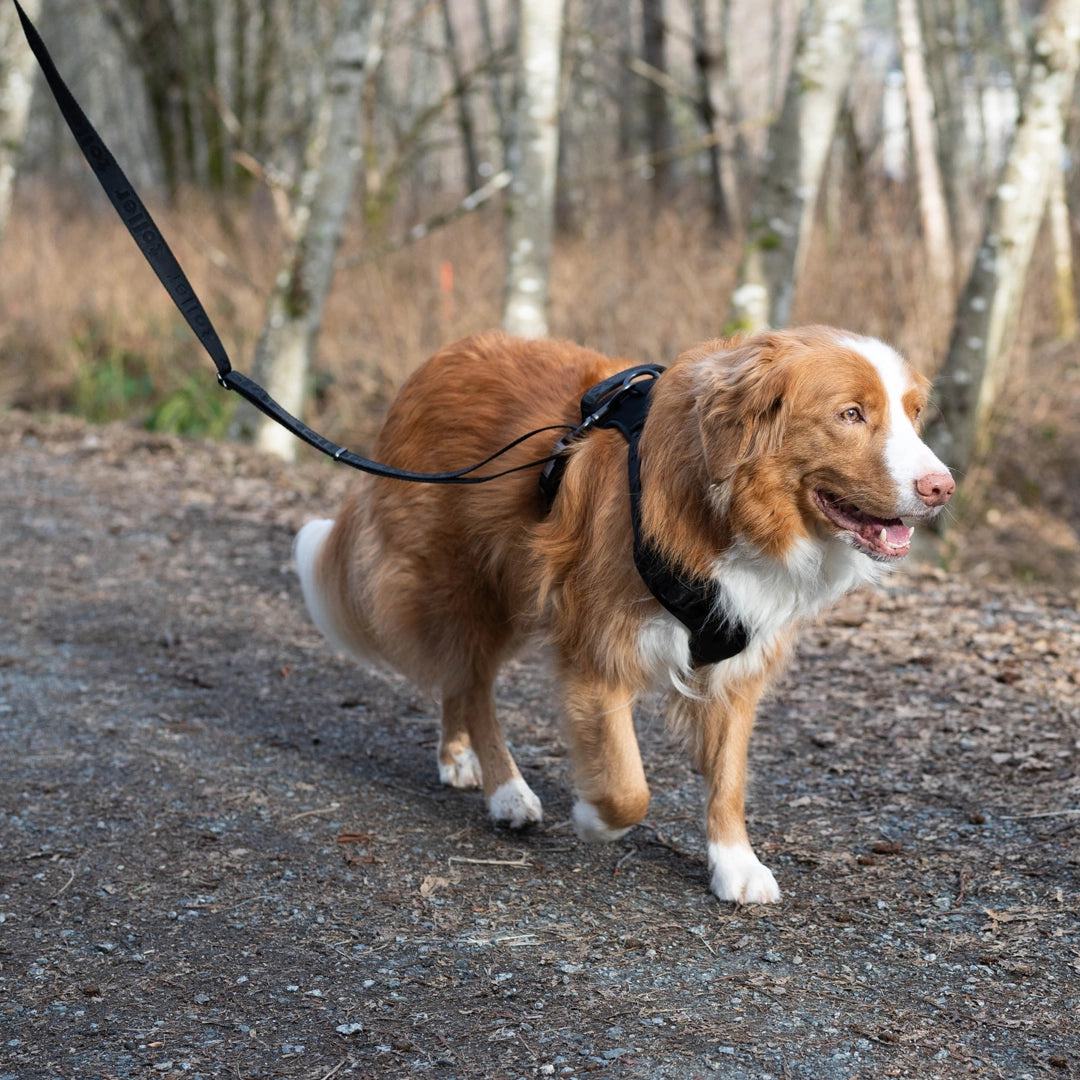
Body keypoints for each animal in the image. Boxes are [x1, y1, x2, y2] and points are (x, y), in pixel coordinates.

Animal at [293, 326, 954, 902]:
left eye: (913, 413)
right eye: (851, 414)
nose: (942, 487)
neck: (727, 509)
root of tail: (432, 366)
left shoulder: (739, 661)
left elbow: (729, 777)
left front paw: (735, 864)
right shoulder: (597, 649)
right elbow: (627, 785)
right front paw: (592, 817)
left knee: (458, 679)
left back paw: (458, 757)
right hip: (468, 587)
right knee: (475, 687)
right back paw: (507, 791)